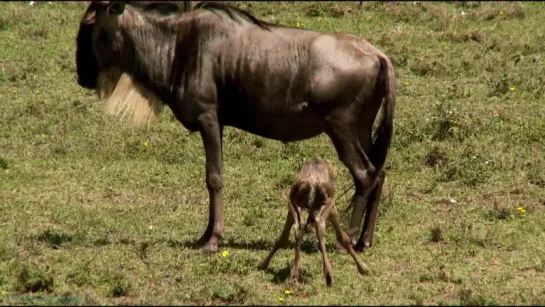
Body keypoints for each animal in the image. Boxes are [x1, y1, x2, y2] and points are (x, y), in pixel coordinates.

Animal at [258, 160, 370, 288]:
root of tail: (311, 183)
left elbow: (283, 238)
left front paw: (263, 264)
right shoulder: (332, 206)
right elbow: (343, 238)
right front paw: (363, 269)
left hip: (294, 202)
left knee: (299, 228)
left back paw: (294, 274)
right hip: (327, 202)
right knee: (319, 223)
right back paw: (328, 275)